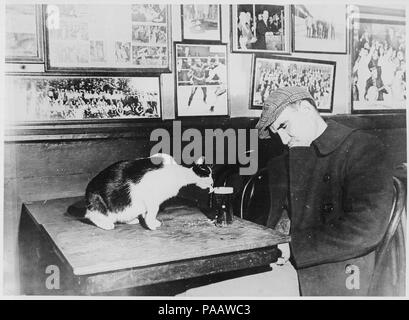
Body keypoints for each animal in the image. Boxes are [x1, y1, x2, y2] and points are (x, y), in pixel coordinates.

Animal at [85, 154, 214, 231]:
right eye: (209, 176)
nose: (213, 185)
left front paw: (147, 220)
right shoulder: (151, 197)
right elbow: (153, 211)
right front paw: (151, 224)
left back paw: (132, 220)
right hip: (100, 203)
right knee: (92, 215)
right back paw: (106, 224)